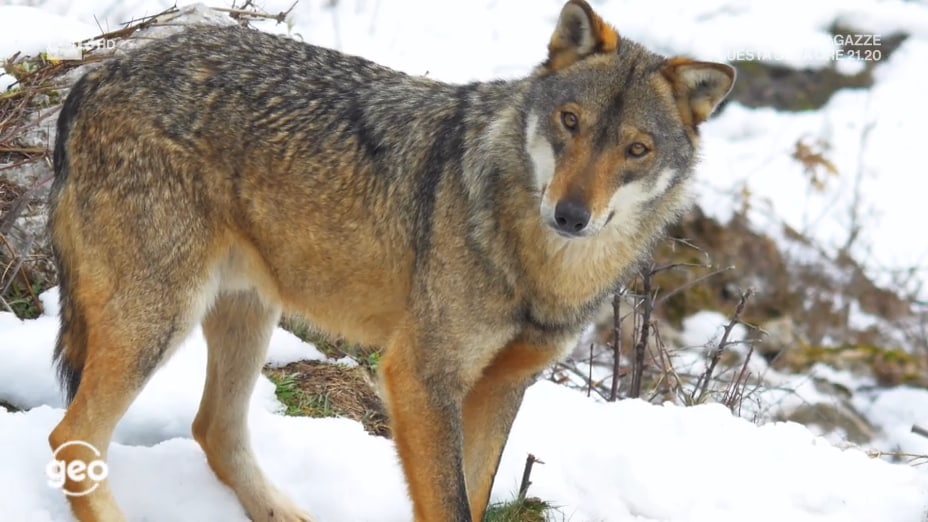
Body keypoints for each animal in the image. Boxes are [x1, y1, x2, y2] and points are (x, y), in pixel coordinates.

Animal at [47, 1, 734, 520]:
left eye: (637, 150)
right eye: (570, 121)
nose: (570, 215)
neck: (538, 269)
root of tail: (98, 73)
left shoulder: (502, 387)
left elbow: (475, 499)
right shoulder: (420, 378)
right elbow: (450, 505)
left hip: (247, 314)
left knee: (213, 431)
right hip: (161, 322)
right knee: (71, 438)